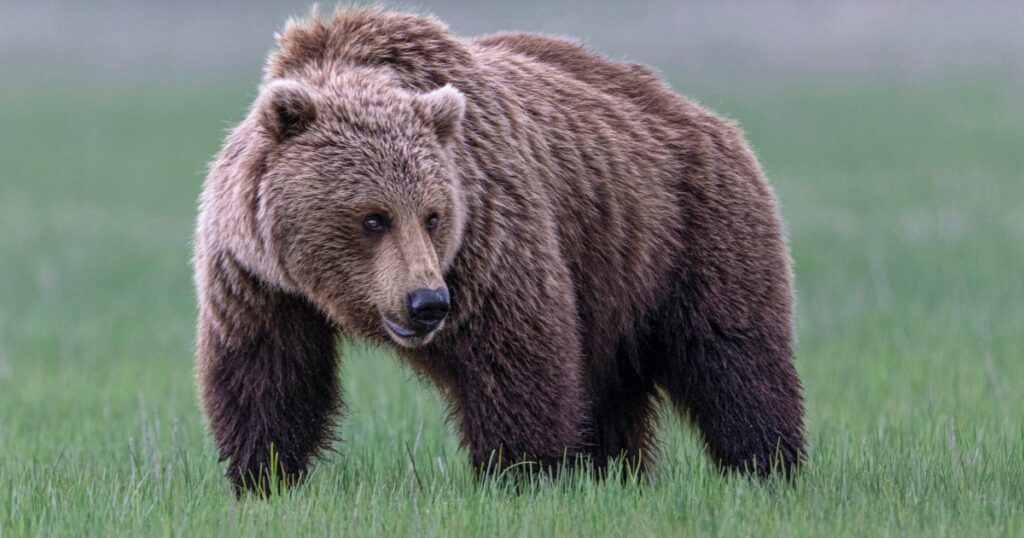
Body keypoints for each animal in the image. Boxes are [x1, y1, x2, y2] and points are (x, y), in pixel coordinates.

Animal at [193, 7, 805, 493]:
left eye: (433, 216)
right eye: (373, 218)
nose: (427, 303)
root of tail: (705, 115)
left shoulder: (487, 236)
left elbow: (516, 353)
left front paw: (524, 472)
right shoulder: (256, 277)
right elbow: (268, 373)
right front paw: (262, 475)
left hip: (689, 228)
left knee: (732, 355)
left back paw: (766, 464)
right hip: (614, 276)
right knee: (612, 385)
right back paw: (614, 469)